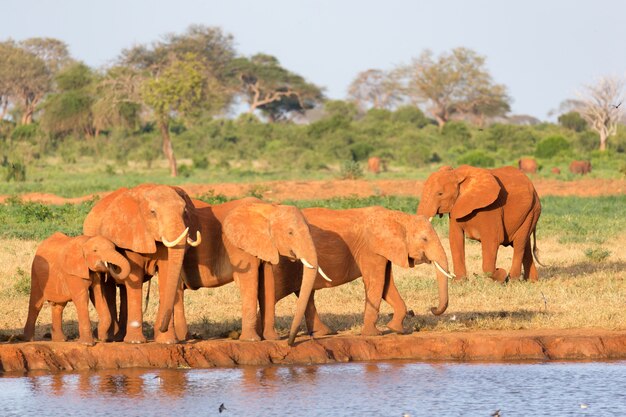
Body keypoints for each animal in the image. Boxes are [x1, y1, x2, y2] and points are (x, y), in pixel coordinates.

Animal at [82, 184, 200, 342]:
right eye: (153, 212)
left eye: (185, 211)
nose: (162, 327)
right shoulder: (131, 236)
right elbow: (135, 276)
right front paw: (135, 341)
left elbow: (166, 273)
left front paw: (167, 341)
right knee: (109, 287)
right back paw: (111, 337)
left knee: (123, 289)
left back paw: (120, 336)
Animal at [178, 197, 320, 342]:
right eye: (290, 232)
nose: (290, 342)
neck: (267, 208)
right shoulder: (239, 247)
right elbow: (249, 281)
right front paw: (251, 340)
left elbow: (268, 283)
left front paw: (272, 338)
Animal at [256, 206, 450, 342]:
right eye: (424, 239)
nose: (432, 308)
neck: (397, 217)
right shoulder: (371, 249)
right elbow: (376, 283)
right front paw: (374, 335)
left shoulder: (382, 251)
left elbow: (387, 286)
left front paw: (397, 330)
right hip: (282, 263)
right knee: (276, 293)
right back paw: (262, 335)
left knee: (306, 295)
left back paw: (325, 333)